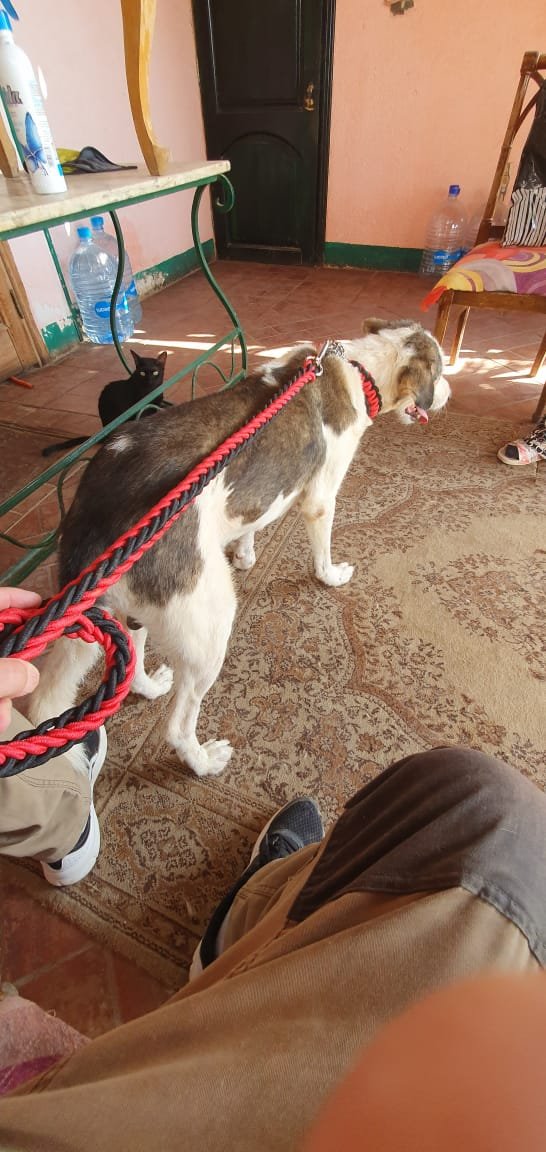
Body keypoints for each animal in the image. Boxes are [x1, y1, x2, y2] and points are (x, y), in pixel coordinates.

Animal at [29, 319, 450, 778]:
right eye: (441, 371)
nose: (449, 395)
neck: (359, 370)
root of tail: (92, 527)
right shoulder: (321, 499)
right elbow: (322, 552)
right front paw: (331, 576)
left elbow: (254, 522)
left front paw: (246, 555)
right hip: (210, 627)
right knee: (179, 726)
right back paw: (202, 762)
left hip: (131, 617)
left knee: (131, 665)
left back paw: (150, 687)